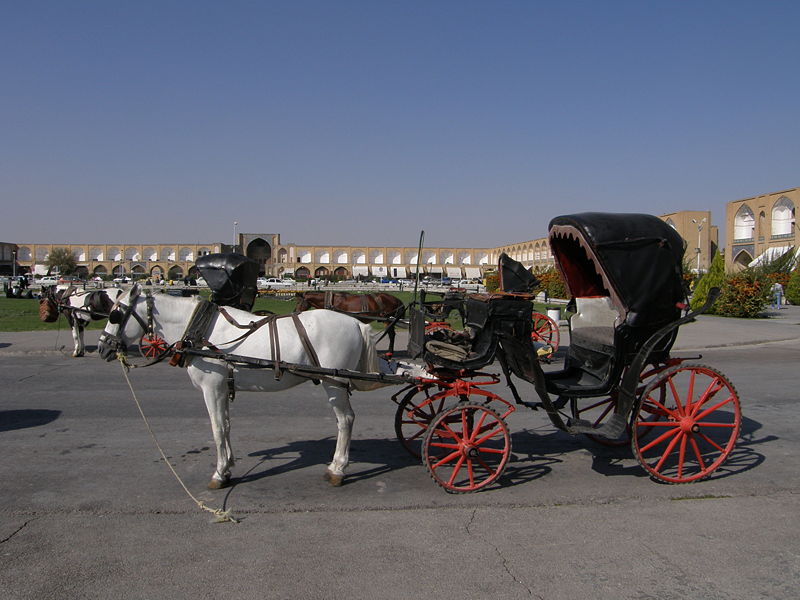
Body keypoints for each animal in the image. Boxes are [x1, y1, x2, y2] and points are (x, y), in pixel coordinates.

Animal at [97, 284, 384, 488]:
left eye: (115, 314)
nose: (103, 347)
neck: (202, 333)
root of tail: (356, 322)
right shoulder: (222, 389)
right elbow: (226, 426)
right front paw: (227, 467)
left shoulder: (211, 389)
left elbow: (216, 428)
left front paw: (219, 473)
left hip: (334, 382)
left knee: (345, 420)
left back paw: (337, 469)